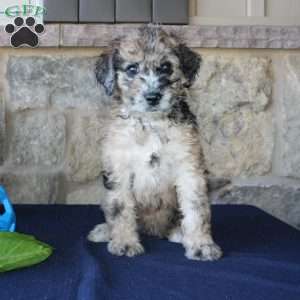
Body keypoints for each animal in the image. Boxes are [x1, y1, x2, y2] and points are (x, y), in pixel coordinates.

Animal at [88, 25, 221, 260]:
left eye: (166, 67)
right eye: (132, 69)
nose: (153, 96)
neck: (150, 125)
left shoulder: (189, 166)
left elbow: (196, 208)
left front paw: (201, 245)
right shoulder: (119, 167)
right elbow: (120, 208)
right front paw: (124, 242)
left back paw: (178, 233)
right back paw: (105, 231)